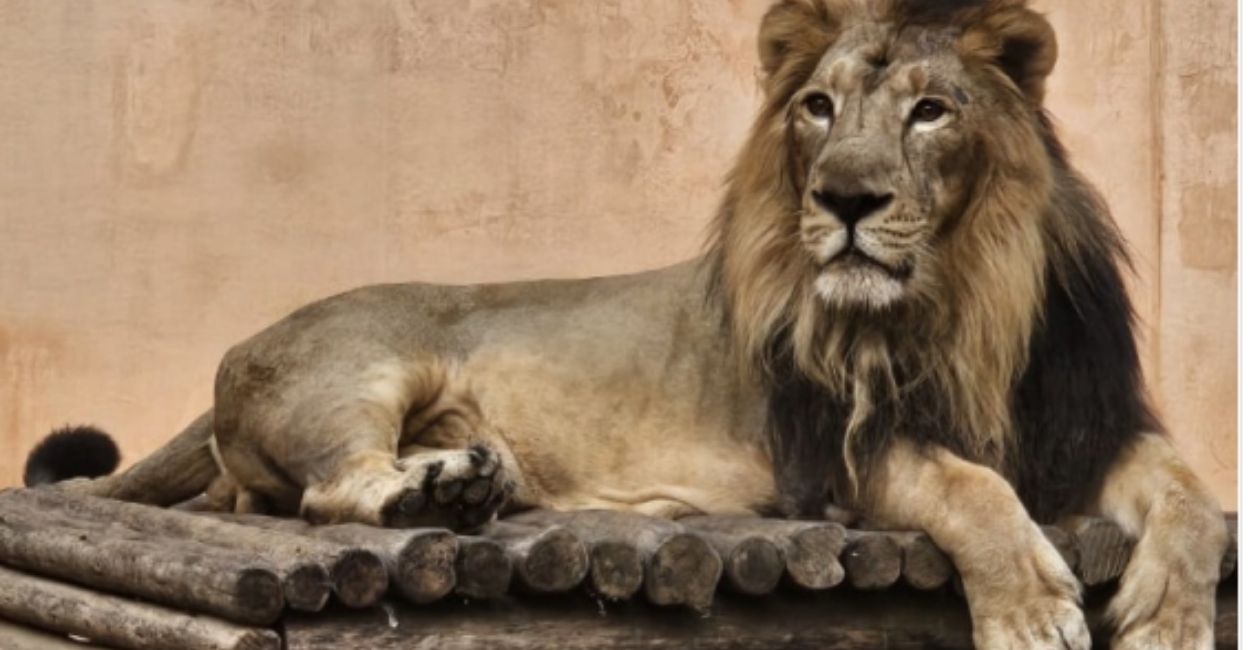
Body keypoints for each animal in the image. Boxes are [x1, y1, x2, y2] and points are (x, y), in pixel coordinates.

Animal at [25, 1, 1227, 648]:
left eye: (929, 111)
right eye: (817, 108)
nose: (842, 198)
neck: (962, 294)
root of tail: (241, 344)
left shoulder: (1086, 422)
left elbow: (1191, 496)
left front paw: (1172, 614)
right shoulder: (831, 452)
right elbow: (966, 486)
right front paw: (1028, 608)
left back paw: (469, 480)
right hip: (356, 371)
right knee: (325, 491)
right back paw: (440, 494)